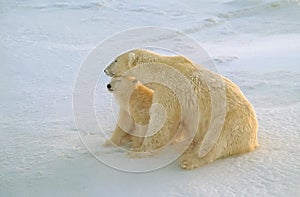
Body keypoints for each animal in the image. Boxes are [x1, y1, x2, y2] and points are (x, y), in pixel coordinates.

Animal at [103, 48, 258, 169]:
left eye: (115, 60)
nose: (105, 70)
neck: (161, 68)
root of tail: (253, 140)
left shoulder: (170, 89)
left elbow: (162, 119)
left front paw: (138, 151)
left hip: (229, 121)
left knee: (215, 141)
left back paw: (189, 160)